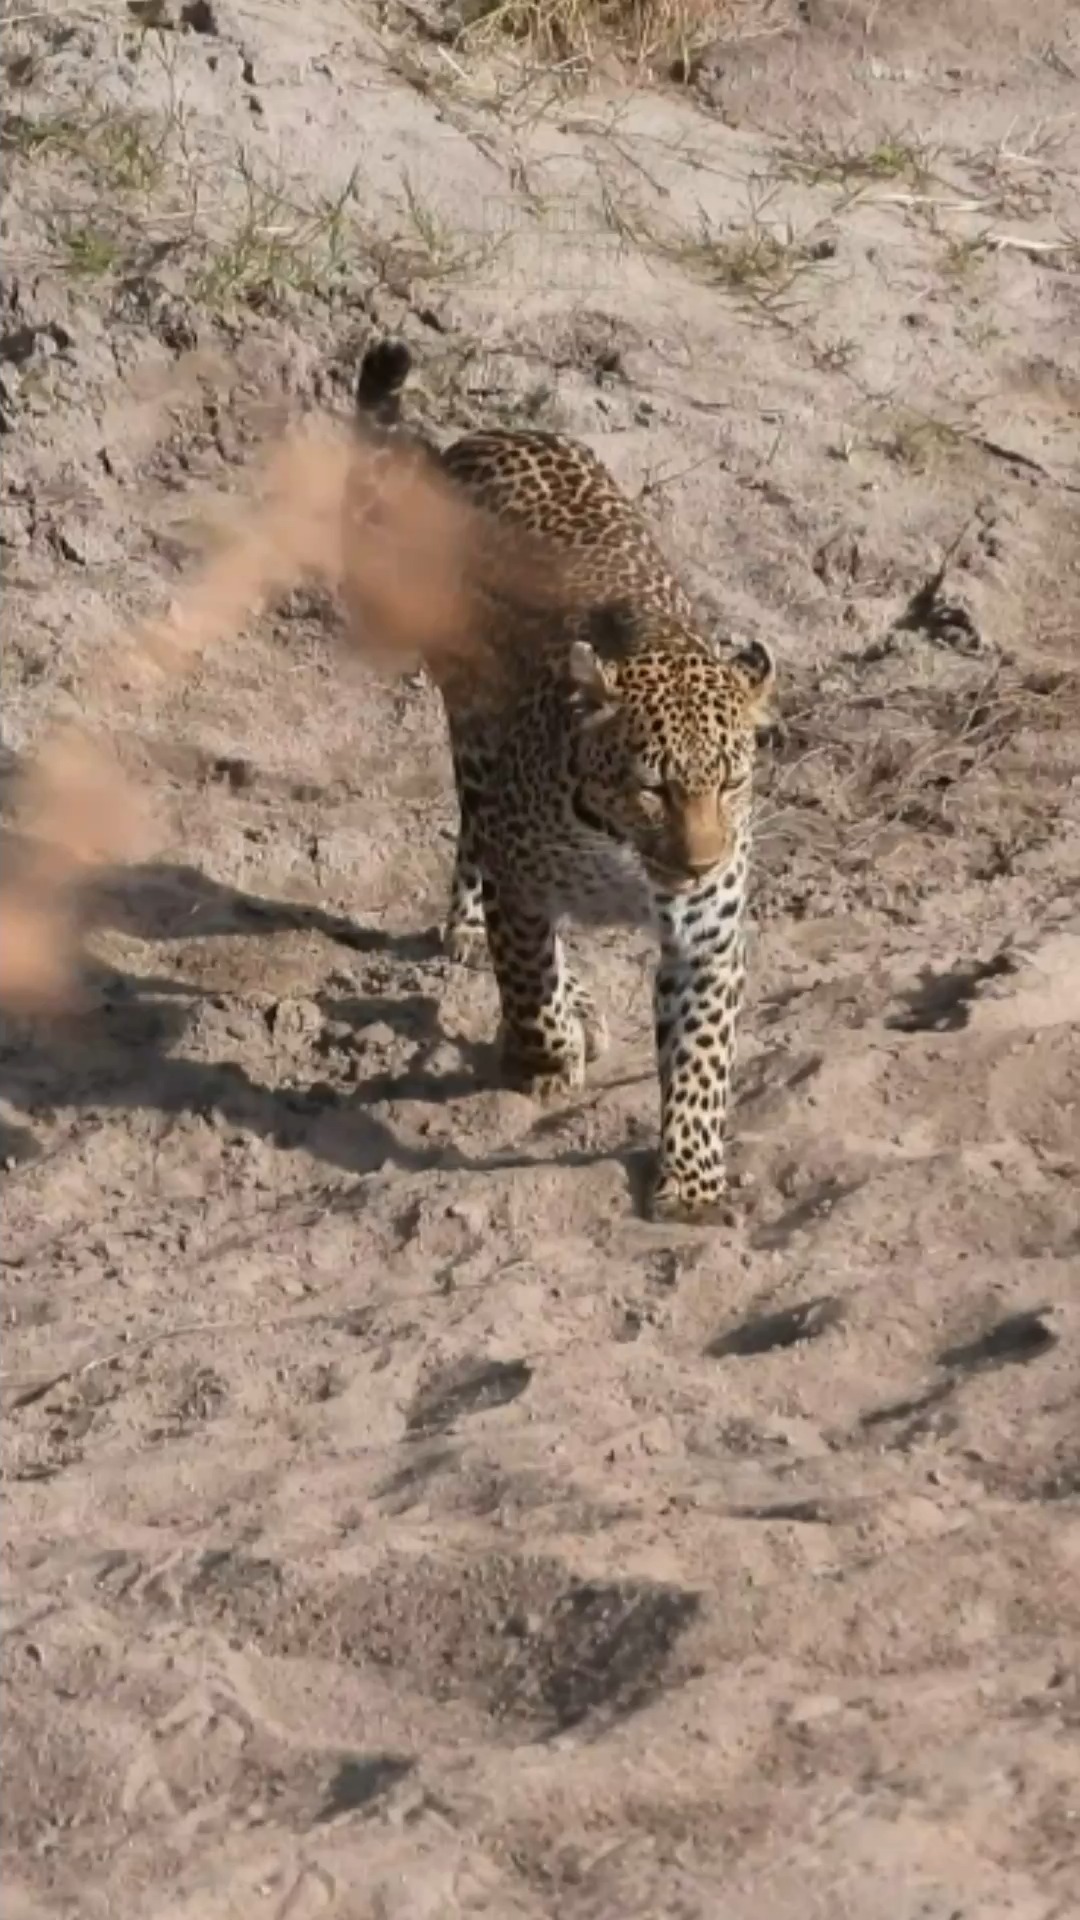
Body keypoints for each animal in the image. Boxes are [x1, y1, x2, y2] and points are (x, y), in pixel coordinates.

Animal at [350, 338, 777, 1225]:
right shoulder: (526, 884)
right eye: (651, 787)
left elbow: (700, 1060)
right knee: (478, 842)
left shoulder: (709, 936)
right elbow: (530, 979)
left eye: (731, 784)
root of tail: (490, 434)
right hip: (473, 734)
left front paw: (691, 1180)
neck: (623, 857)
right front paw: (545, 1060)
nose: (698, 864)